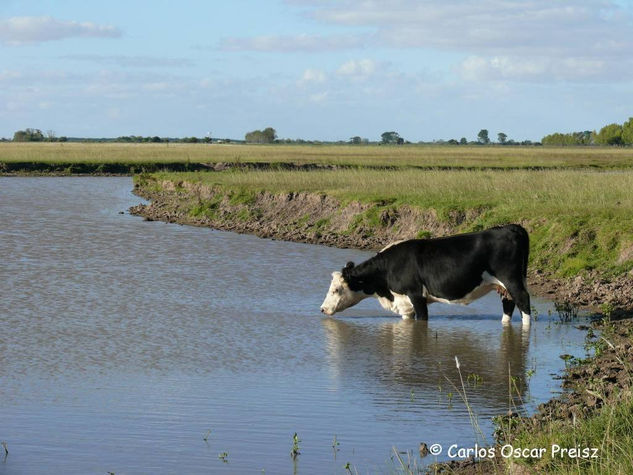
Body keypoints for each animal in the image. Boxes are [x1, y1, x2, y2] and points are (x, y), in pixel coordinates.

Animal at [318, 225, 532, 326]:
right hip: (504, 285)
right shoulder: (404, 304)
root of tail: (510, 227)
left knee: (523, 301)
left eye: (336, 289)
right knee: (508, 304)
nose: (322, 309)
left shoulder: (416, 295)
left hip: (512, 279)